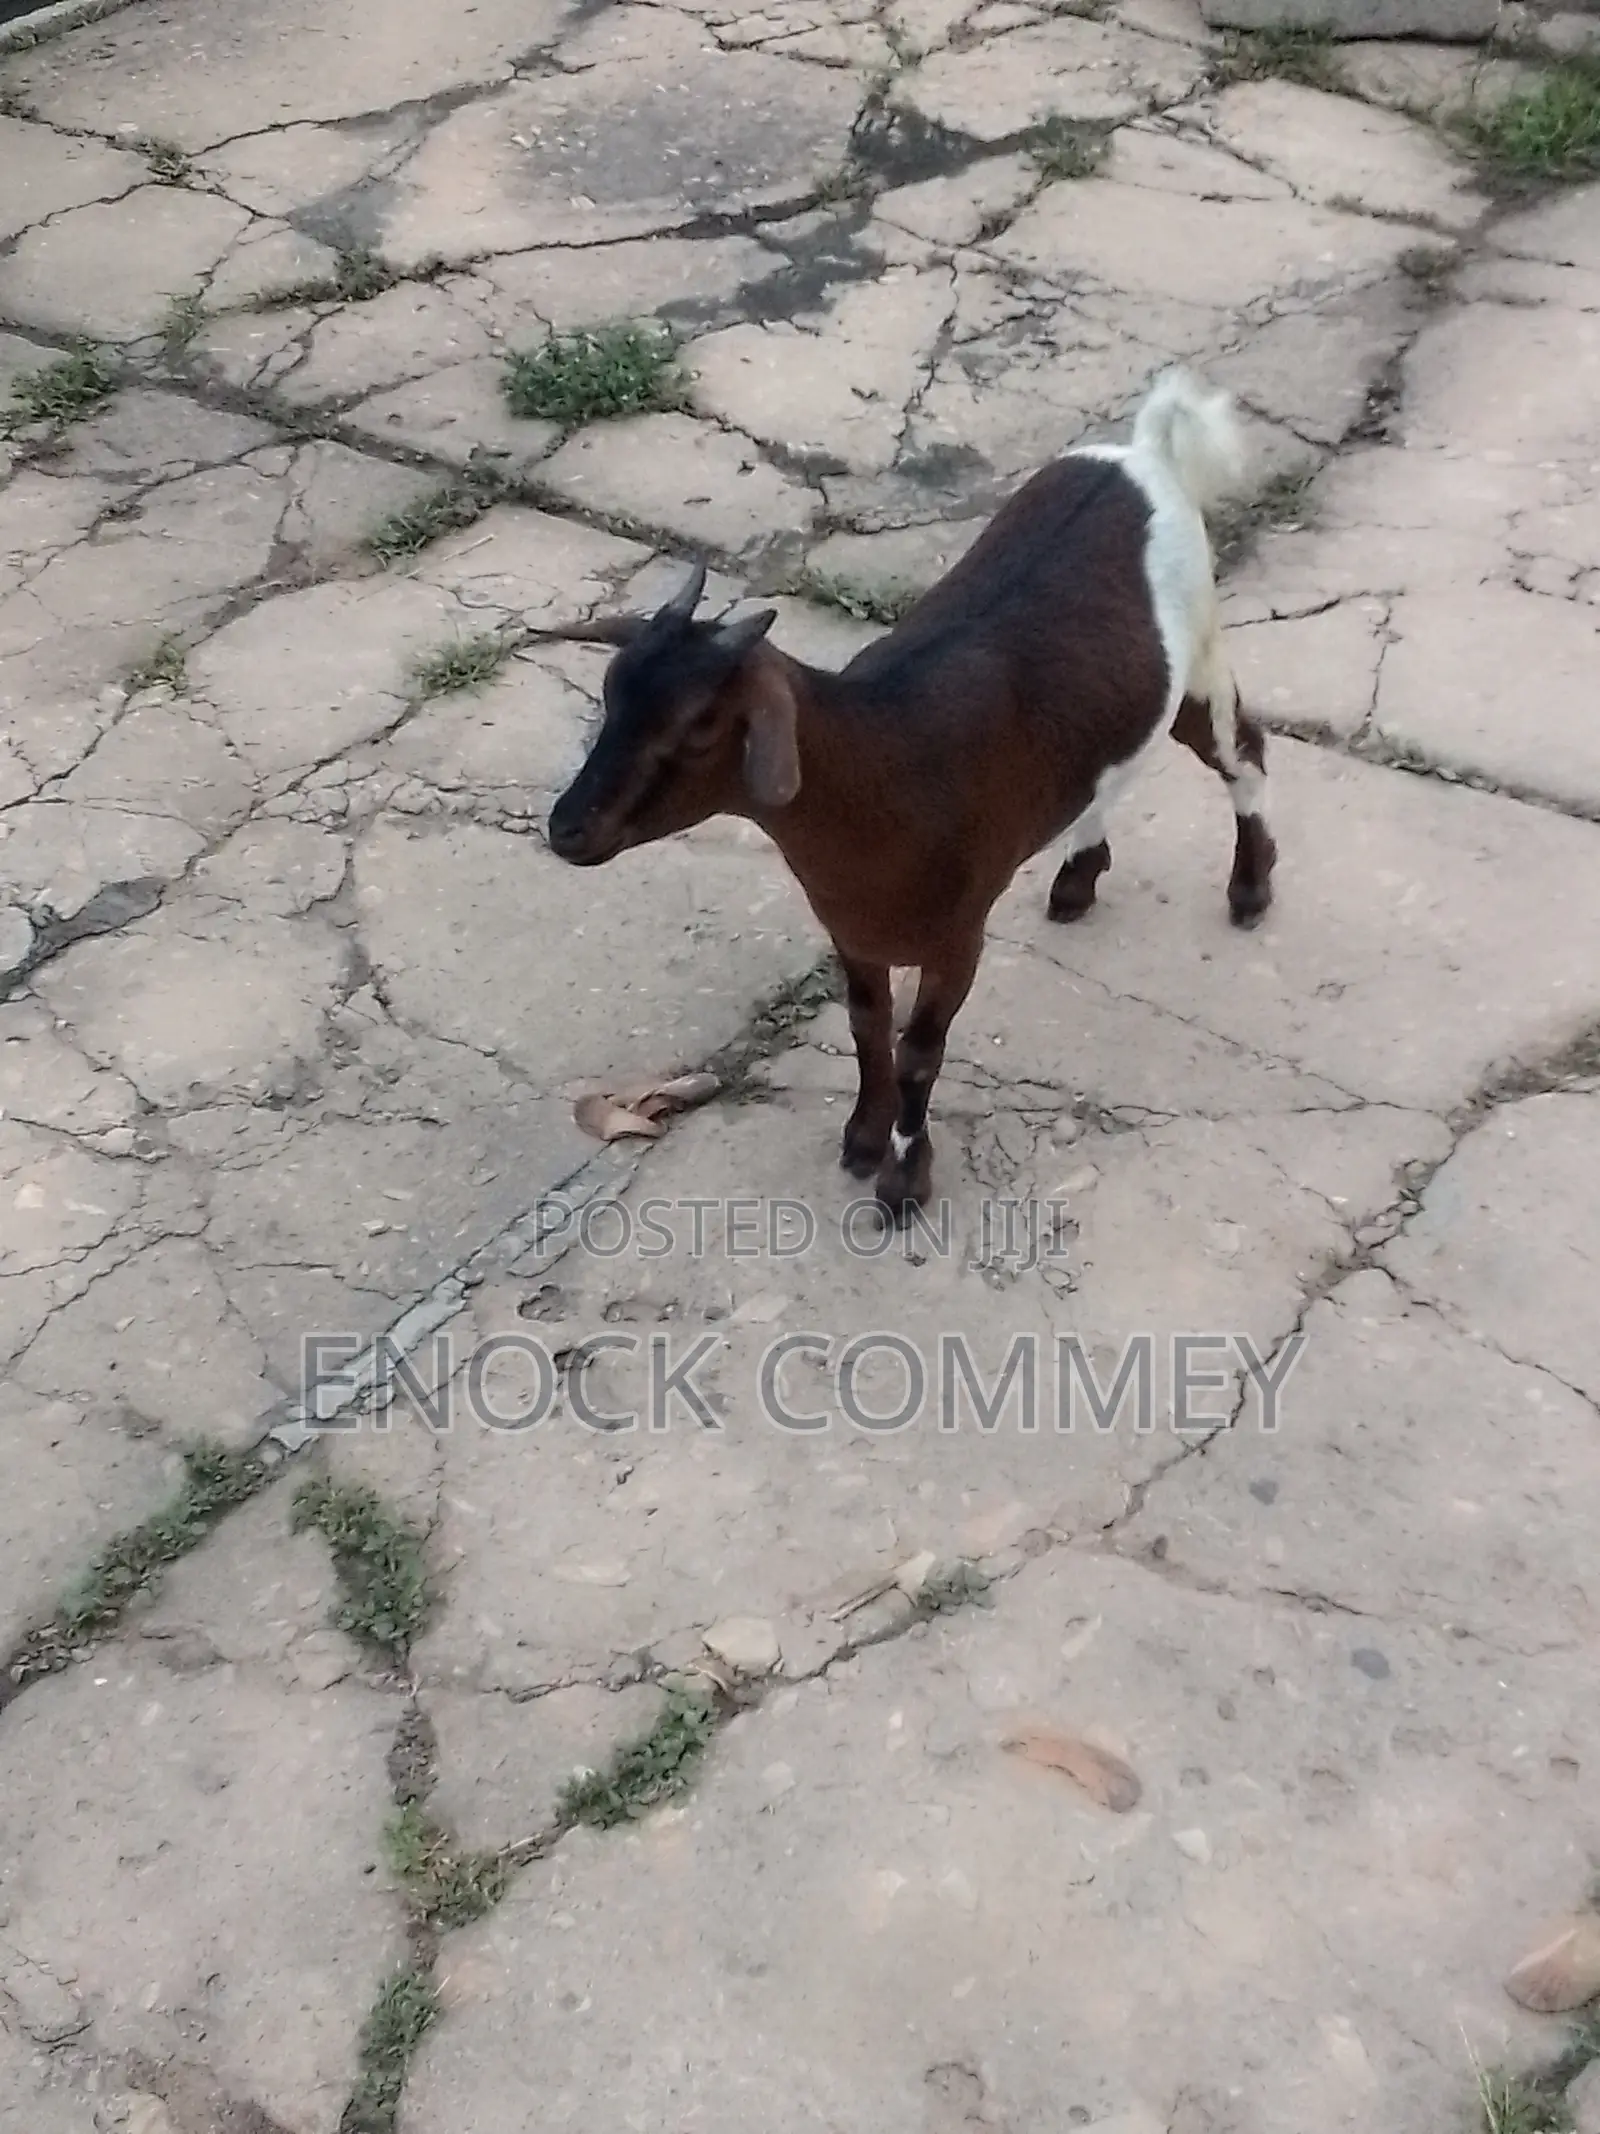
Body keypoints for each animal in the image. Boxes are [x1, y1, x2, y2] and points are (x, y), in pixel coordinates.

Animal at [546, 368, 1276, 1220]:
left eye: (698, 725)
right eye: (610, 692)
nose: (567, 828)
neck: (886, 768)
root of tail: (1145, 454)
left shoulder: (958, 937)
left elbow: (919, 1050)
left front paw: (904, 1180)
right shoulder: (852, 933)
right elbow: (868, 1026)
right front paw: (864, 1138)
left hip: (1201, 656)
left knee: (1244, 755)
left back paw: (1250, 887)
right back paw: (1076, 877)